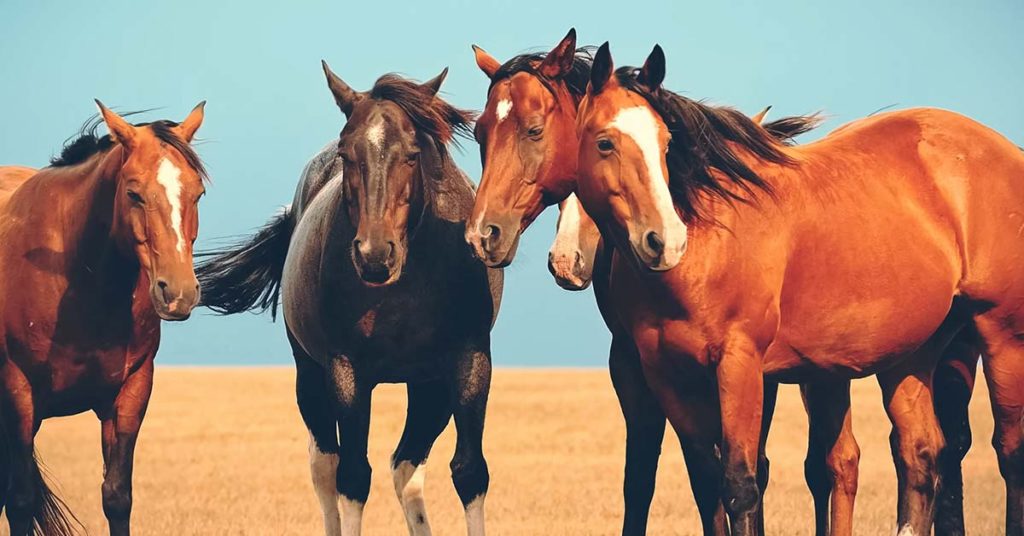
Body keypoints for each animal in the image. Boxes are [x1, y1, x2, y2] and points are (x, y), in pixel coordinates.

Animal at [0, 101, 208, 536]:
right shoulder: (18, 396)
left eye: (198, 192)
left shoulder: (129, 394)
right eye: (133, 193)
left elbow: (116, 496)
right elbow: (21, 500)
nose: (178, 293)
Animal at [196, 63, 502, 536]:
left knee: (406, 465)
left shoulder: (468, 362)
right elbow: (353, 477)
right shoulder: (348, 372)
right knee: (326, 465)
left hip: (428, 387)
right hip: (310, 376)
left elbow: (469, 471)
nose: (374, 255)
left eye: (412, 153)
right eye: (346, 153)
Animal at [573, 42, 1024, 535]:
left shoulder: (742, 367)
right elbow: (703, 481)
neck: (709, 239)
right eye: (604, 143)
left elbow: (742, 482)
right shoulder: (666, 375)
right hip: (913, 352)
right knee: (920, 453)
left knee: (1009, 453)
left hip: (1001, 337)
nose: (664, 240)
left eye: (667, 143)